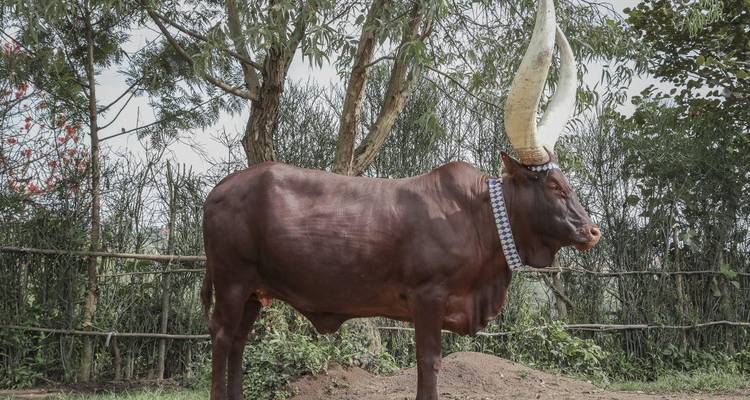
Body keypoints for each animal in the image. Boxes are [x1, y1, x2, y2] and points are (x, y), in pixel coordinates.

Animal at [200, 1, 600, 399]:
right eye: (553, 186)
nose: (592, 231)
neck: (479, 215)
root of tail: (219, 190)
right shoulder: (427, 297)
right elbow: (429, 362)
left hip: (253, 290)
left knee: (239, 340)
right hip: (232, 280)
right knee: (223, 336)